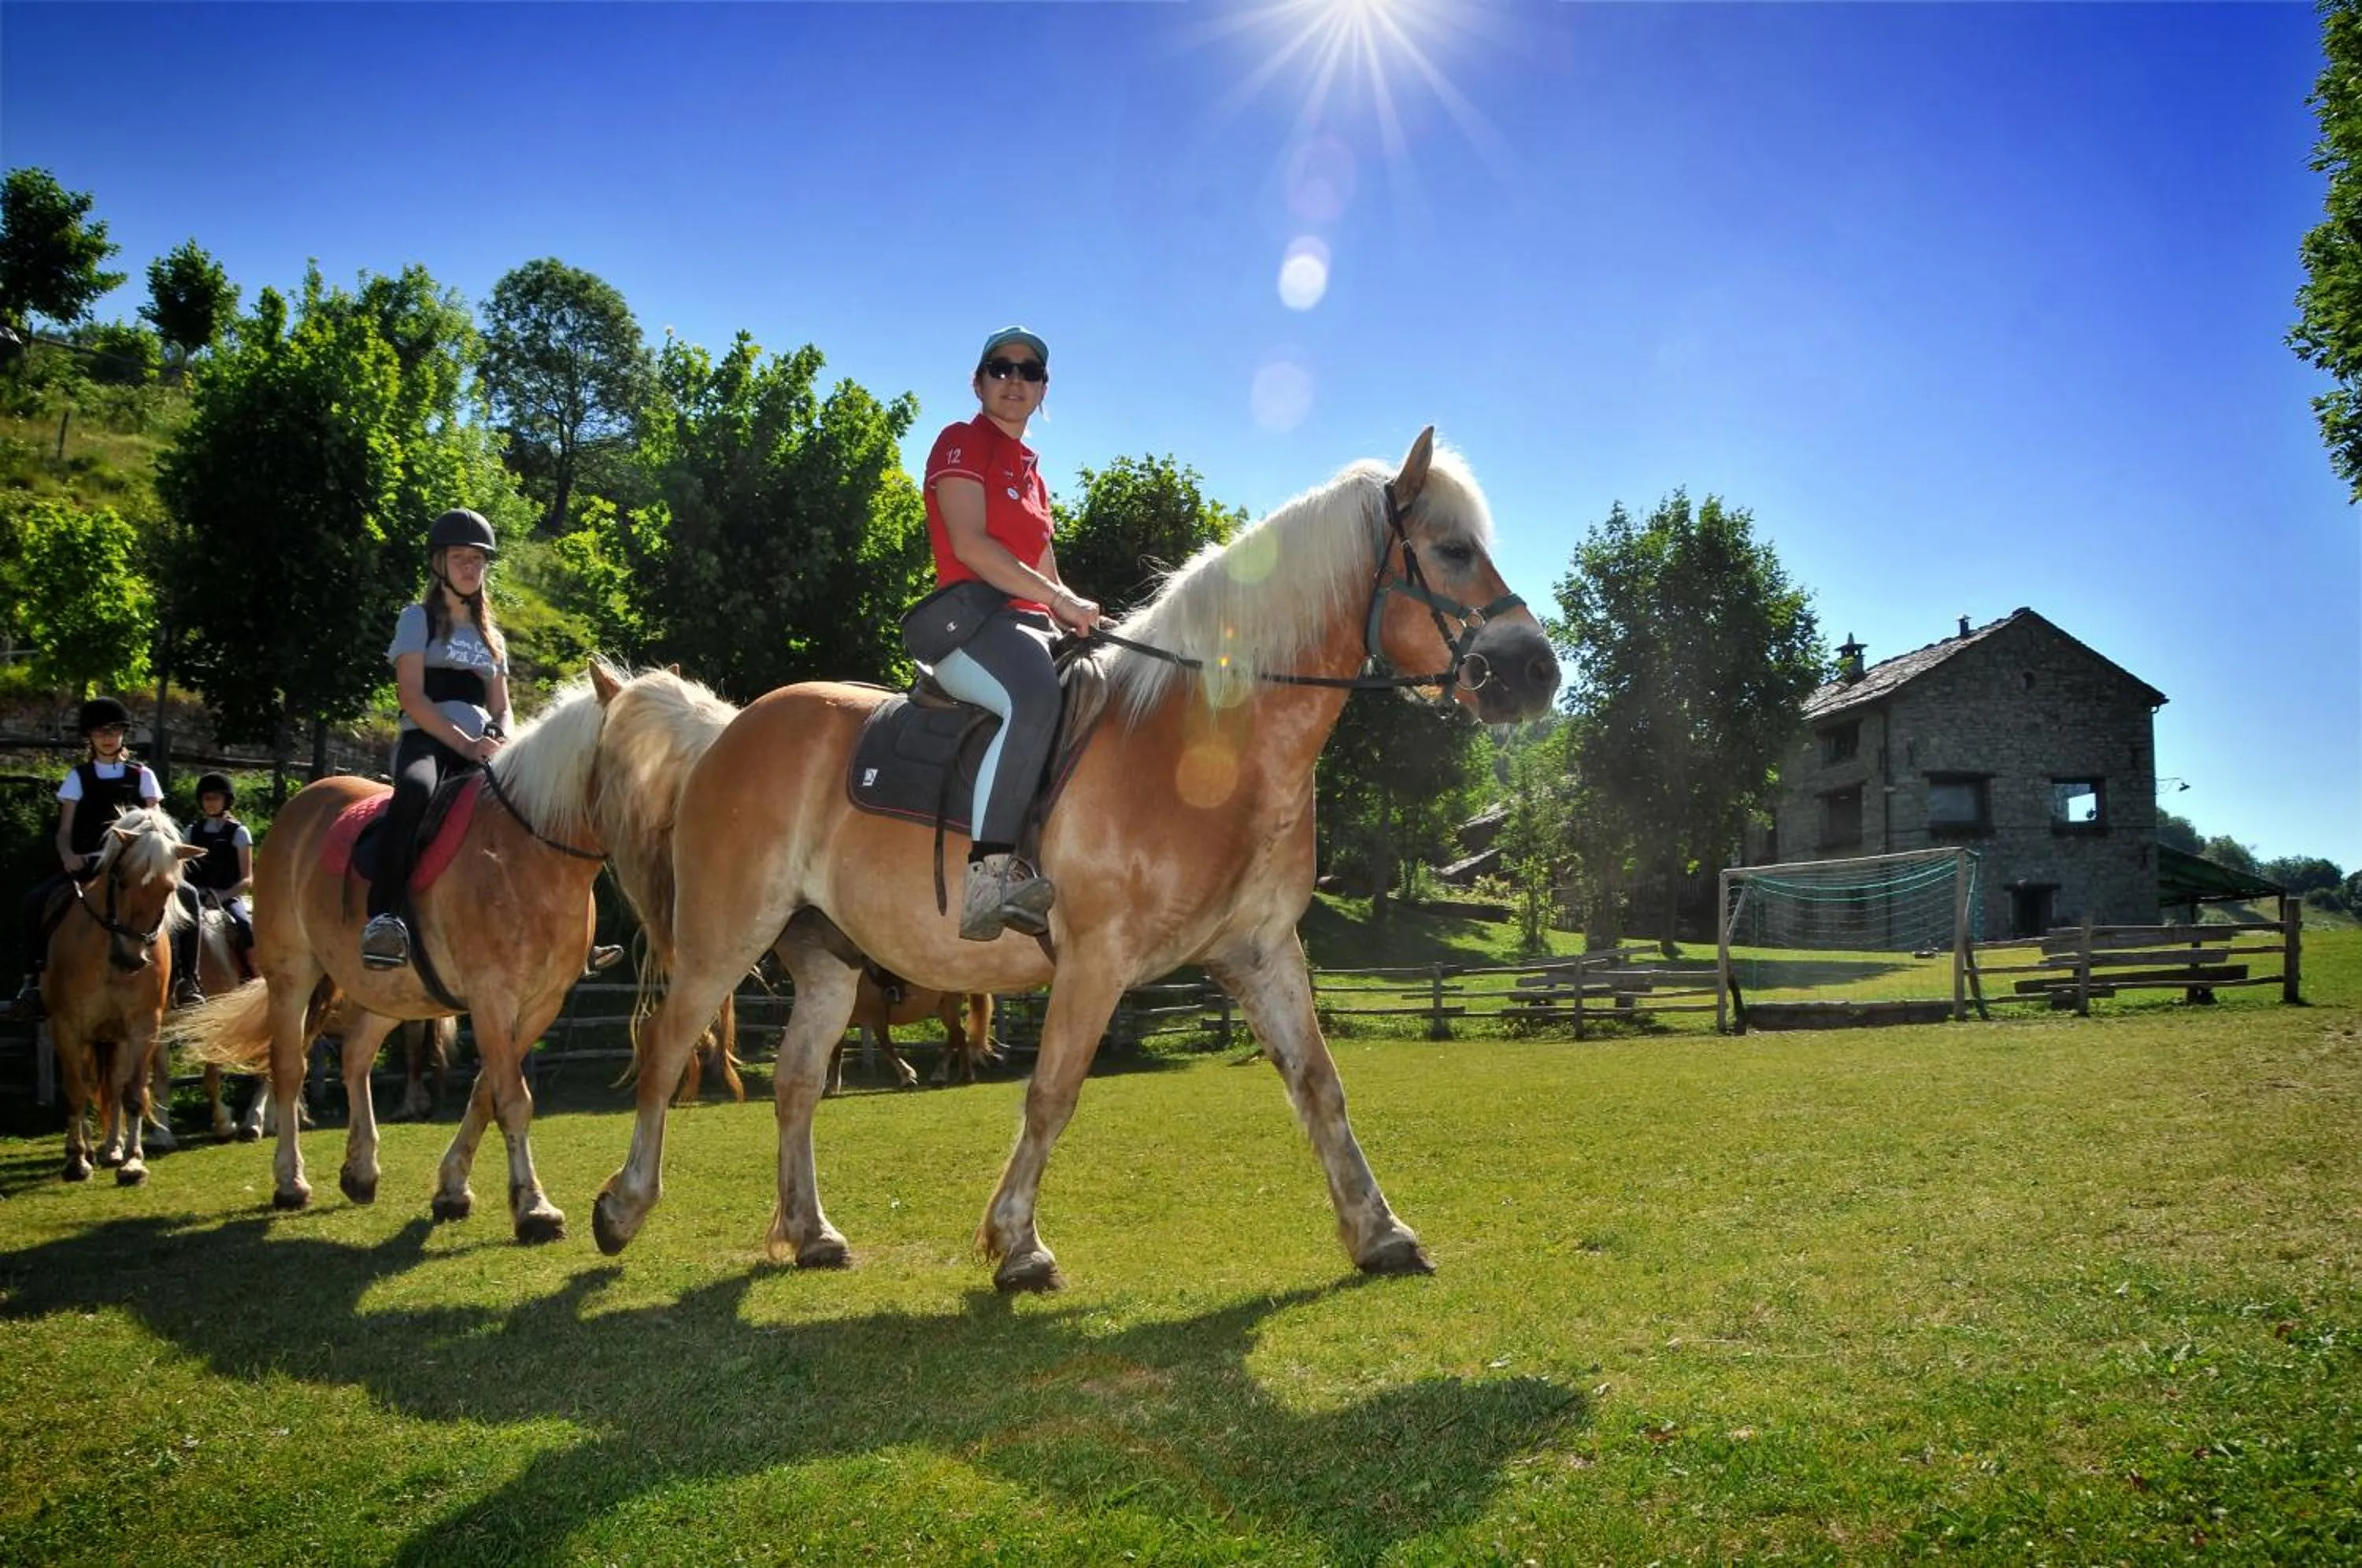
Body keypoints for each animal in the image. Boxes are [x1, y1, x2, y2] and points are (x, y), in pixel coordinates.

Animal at [39, 805, 205, 1184]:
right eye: (122, 879)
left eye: (168, 889)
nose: (132, 959)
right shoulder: (67, 1026)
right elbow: (75, 1091)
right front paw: (76, 1161)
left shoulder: (143, 1027)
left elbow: (131, 1092)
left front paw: (132, 1162)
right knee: (87, 1083)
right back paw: (87, 1149)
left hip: (114, 1035)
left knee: (113, 1085)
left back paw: (113, 1148)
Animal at [172, 663, 722, 1241]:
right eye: (653, 749)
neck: (527, 853)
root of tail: (305, 798)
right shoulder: (492, 998)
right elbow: (513, 1100)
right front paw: (534, 1208)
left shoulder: (539, 1005)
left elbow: (486, 1092)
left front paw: (453, 1188)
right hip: (292, 975)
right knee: (288, 1066)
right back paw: (290, 1181)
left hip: (389, 989)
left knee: (356, 1056)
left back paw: (360, 1171)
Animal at [591, 428, 1561, 1289]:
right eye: (1453, 549)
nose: (1538, 672)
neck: (1203, 745)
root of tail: (729, 729)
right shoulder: (1097, 961)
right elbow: (1051, 1095)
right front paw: (1018, 1245)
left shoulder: (1262, 953)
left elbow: (1320, 1086)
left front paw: (1380, 1233)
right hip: (724, 937)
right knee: (665, 1046)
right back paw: (623, 1207)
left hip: (827, 957)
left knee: (794, 1085)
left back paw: (811, 1232)